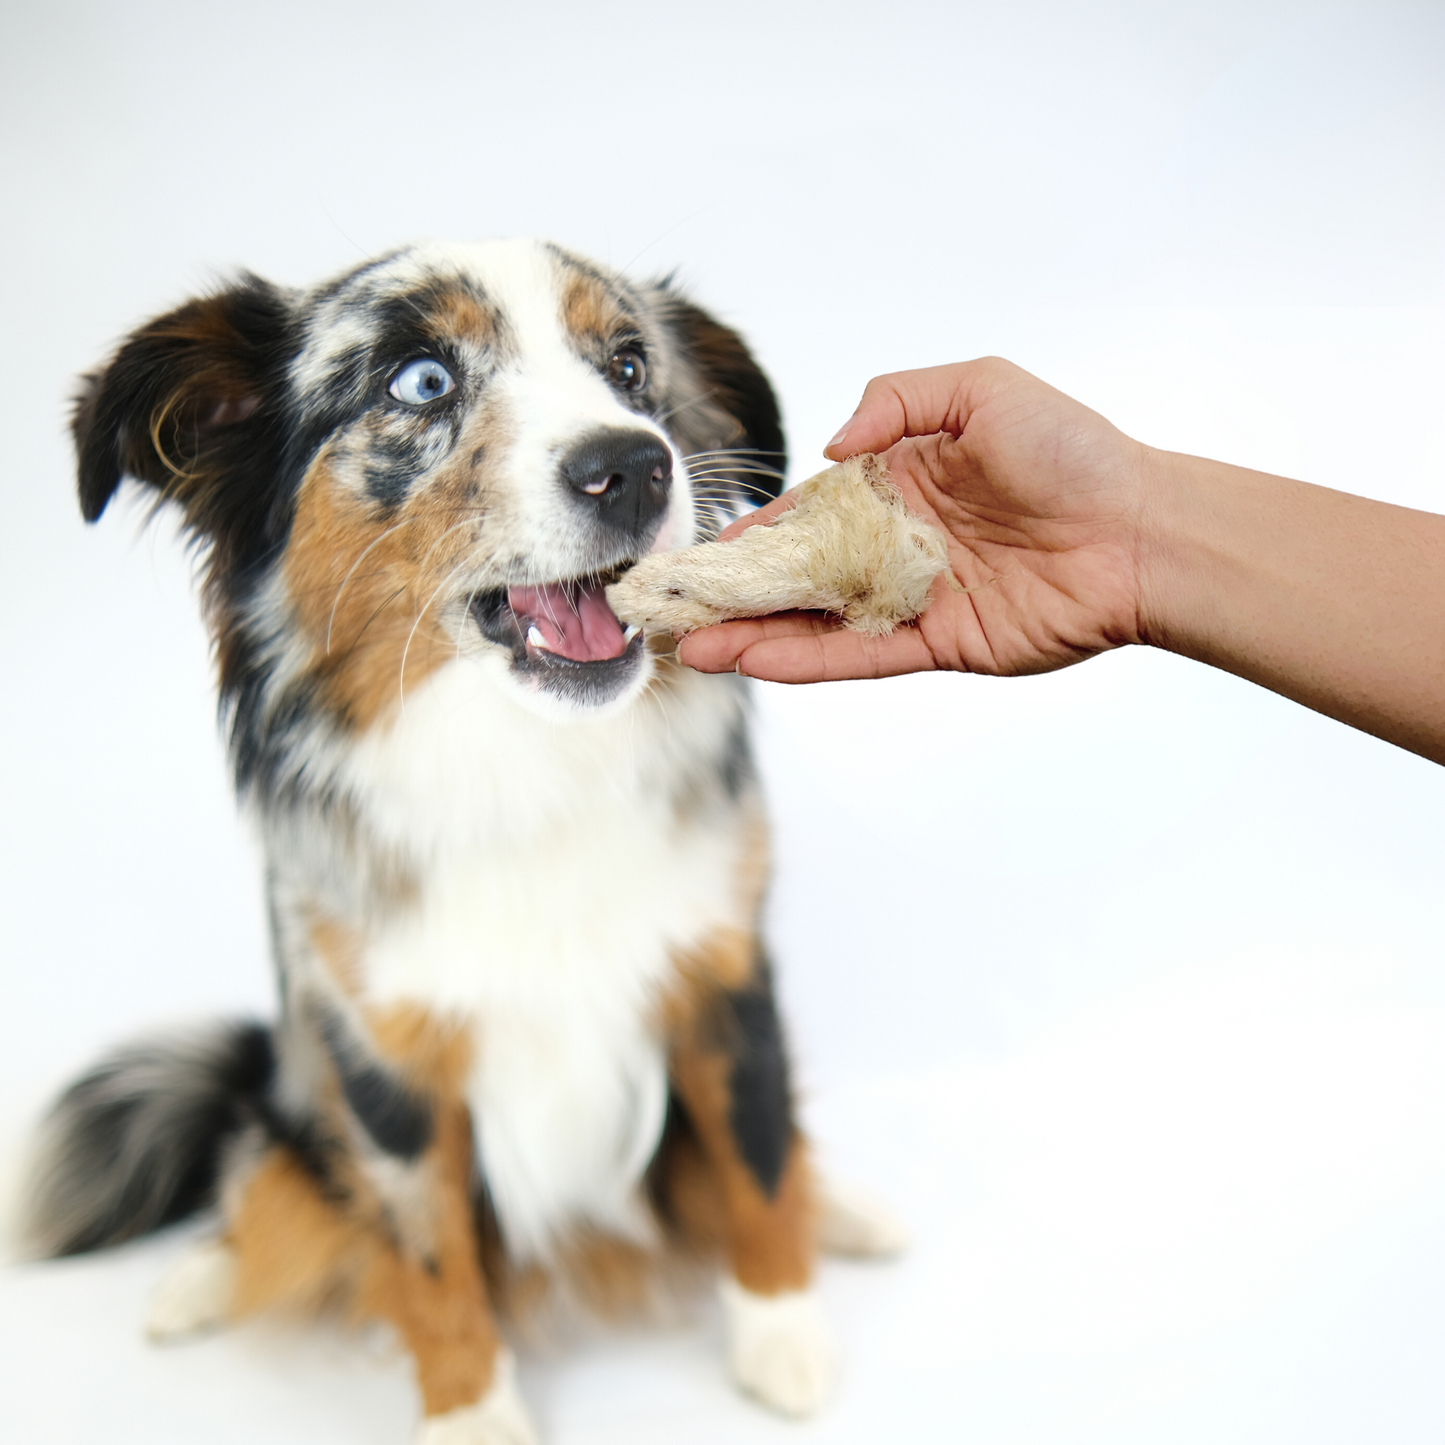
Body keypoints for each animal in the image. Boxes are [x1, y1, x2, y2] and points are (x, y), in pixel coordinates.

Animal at [28, 239, 895, 1445]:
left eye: (630, 365)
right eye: (421, 381)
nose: (633, 466)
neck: (526, 765)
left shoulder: (722, 970)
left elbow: (755, 1153)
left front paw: (780, 1328)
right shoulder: (383, 1052)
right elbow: (429, 1256)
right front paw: (471, 1410)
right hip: (297, 1090)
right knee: (265, 1174)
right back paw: (201, 1275)